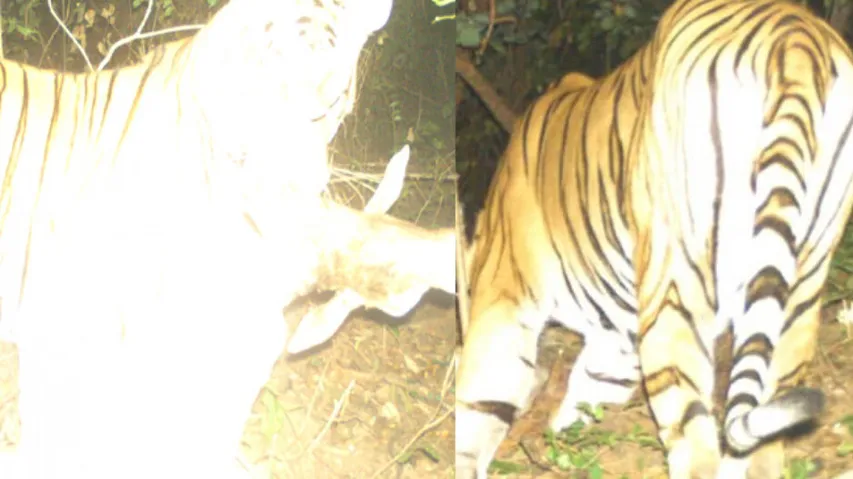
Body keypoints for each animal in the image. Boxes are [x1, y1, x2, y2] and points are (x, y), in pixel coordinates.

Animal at [455, 0, 853, 478]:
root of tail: (795, 38)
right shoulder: (616, 334)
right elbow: (587, 393)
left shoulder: (508, 293)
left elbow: (481, 402)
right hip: (804, 278)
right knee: (765, 443)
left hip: (677, 277)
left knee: (696, 445)